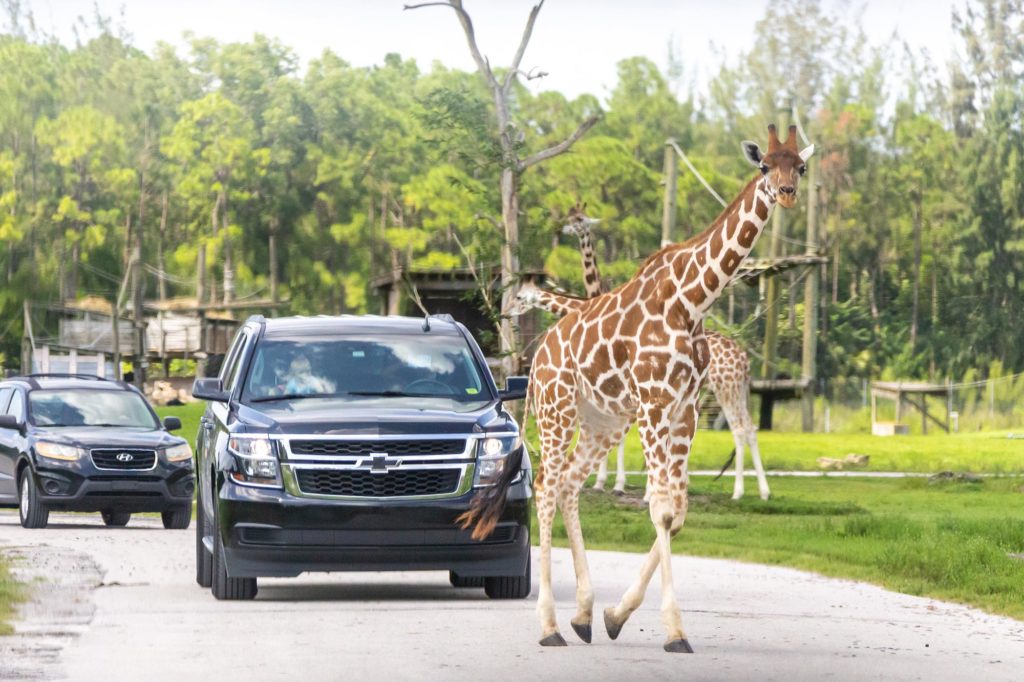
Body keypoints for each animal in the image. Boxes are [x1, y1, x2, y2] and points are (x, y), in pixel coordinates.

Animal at [462, 124, 806, 651]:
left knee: (569, 484)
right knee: (545, 485)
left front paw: (615, 615)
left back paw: (582, 615)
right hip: (558, 411)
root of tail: (538, 357)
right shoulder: (652, 403)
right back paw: (549, 626)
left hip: (601, 420)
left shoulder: (683, 409)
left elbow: (677, 511)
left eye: (800, 166)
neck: (693, 300)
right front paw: (674, 630)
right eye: (765, 165)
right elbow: (661, 508)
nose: (786, 192)